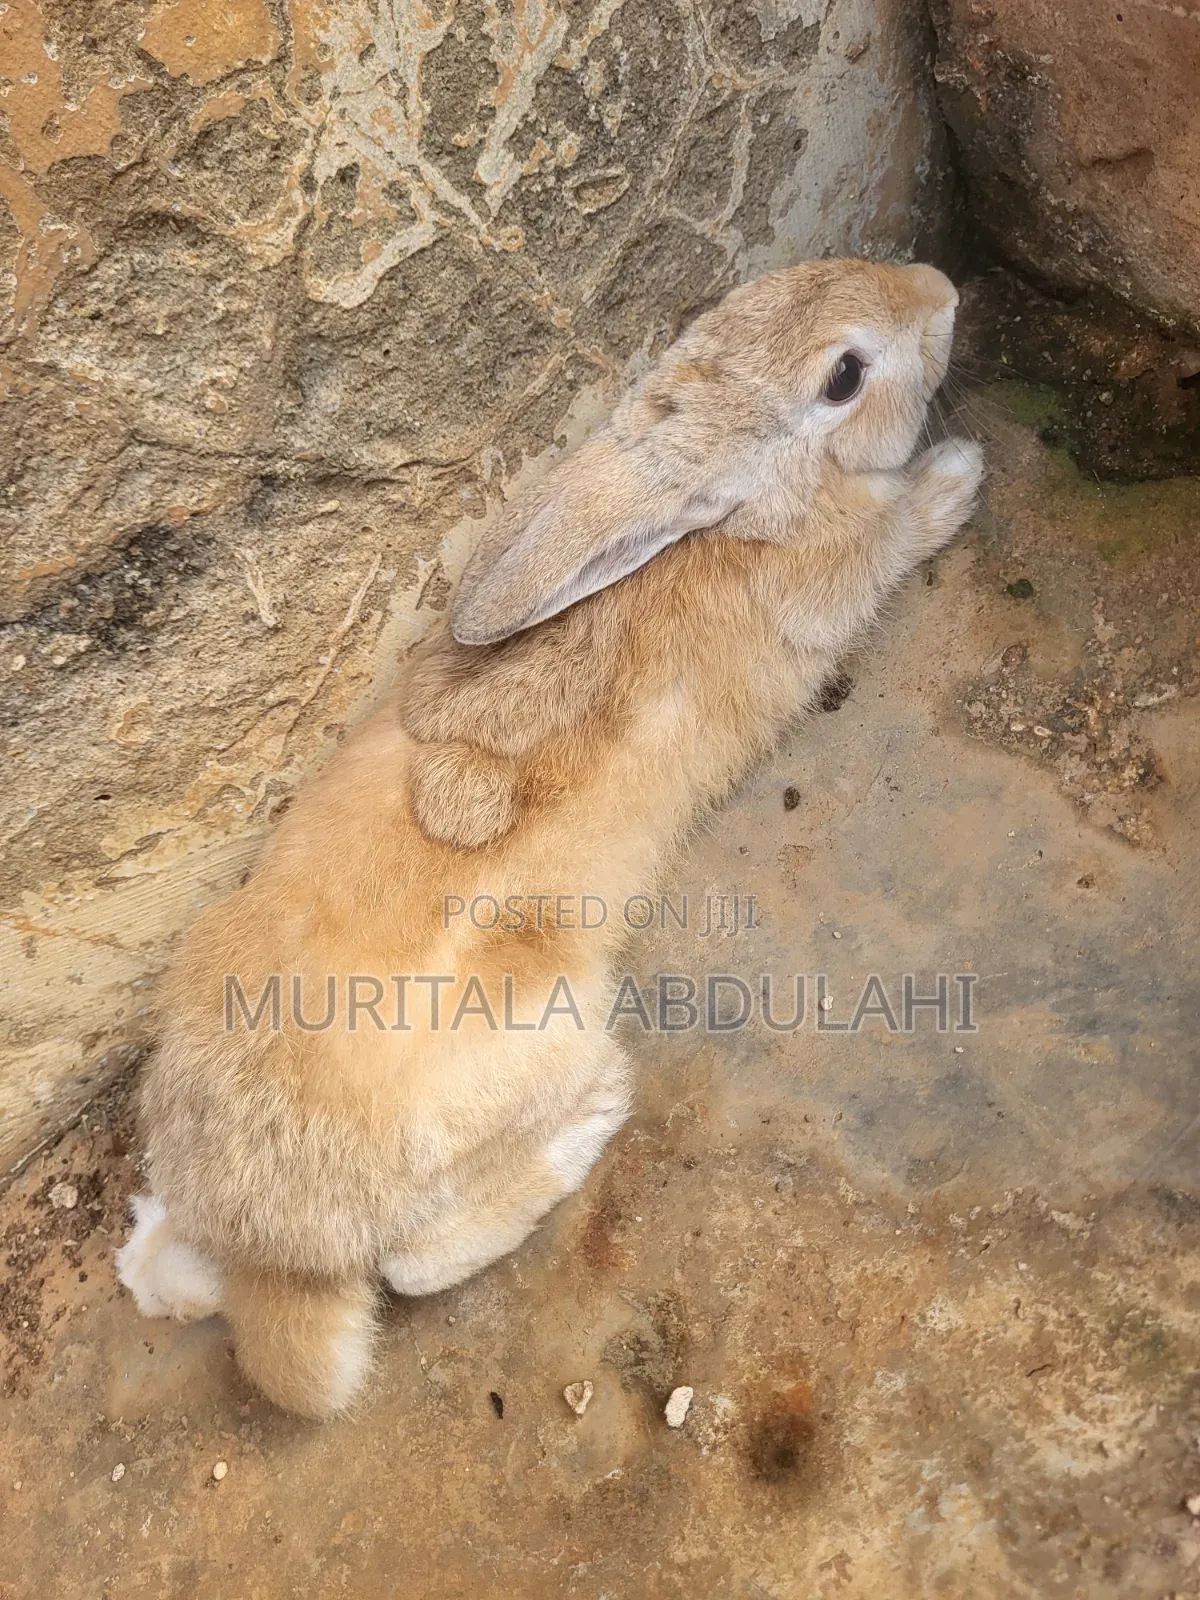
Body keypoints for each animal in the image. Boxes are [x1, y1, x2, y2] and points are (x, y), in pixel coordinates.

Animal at [116, 258, 982, 1418]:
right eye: (845, 374)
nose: (940, 294)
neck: (748, 514)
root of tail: (278, 1245)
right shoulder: (833, 579)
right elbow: (893, 541)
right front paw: (955, 480)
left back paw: (148, 1257)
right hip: (542, 1030)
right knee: (411, 1266)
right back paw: (593, 1119)